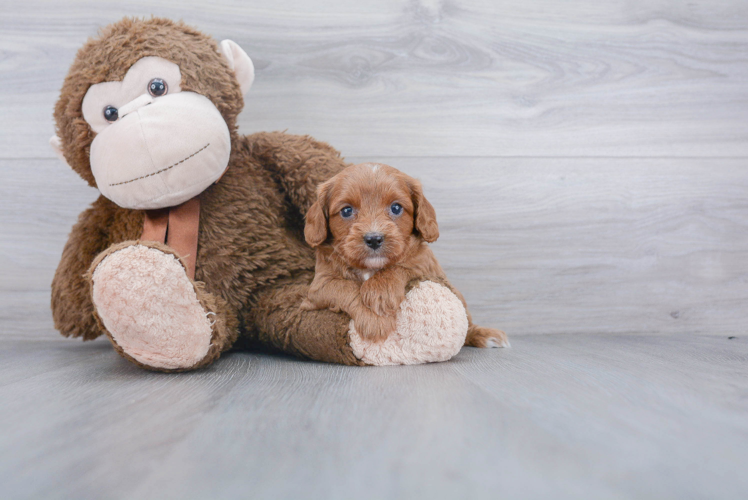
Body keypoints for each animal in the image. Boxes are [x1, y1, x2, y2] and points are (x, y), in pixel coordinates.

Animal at [302, 162, 508, 350]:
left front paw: (380, 292)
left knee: (467, 324)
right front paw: (374, 320)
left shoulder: (425, 265)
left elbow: (400, 266)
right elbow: (345, 286)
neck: (371, 268)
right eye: (346, 211)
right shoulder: (320, 285)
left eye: (396, 208)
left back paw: (485, 334)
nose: (374, 239)